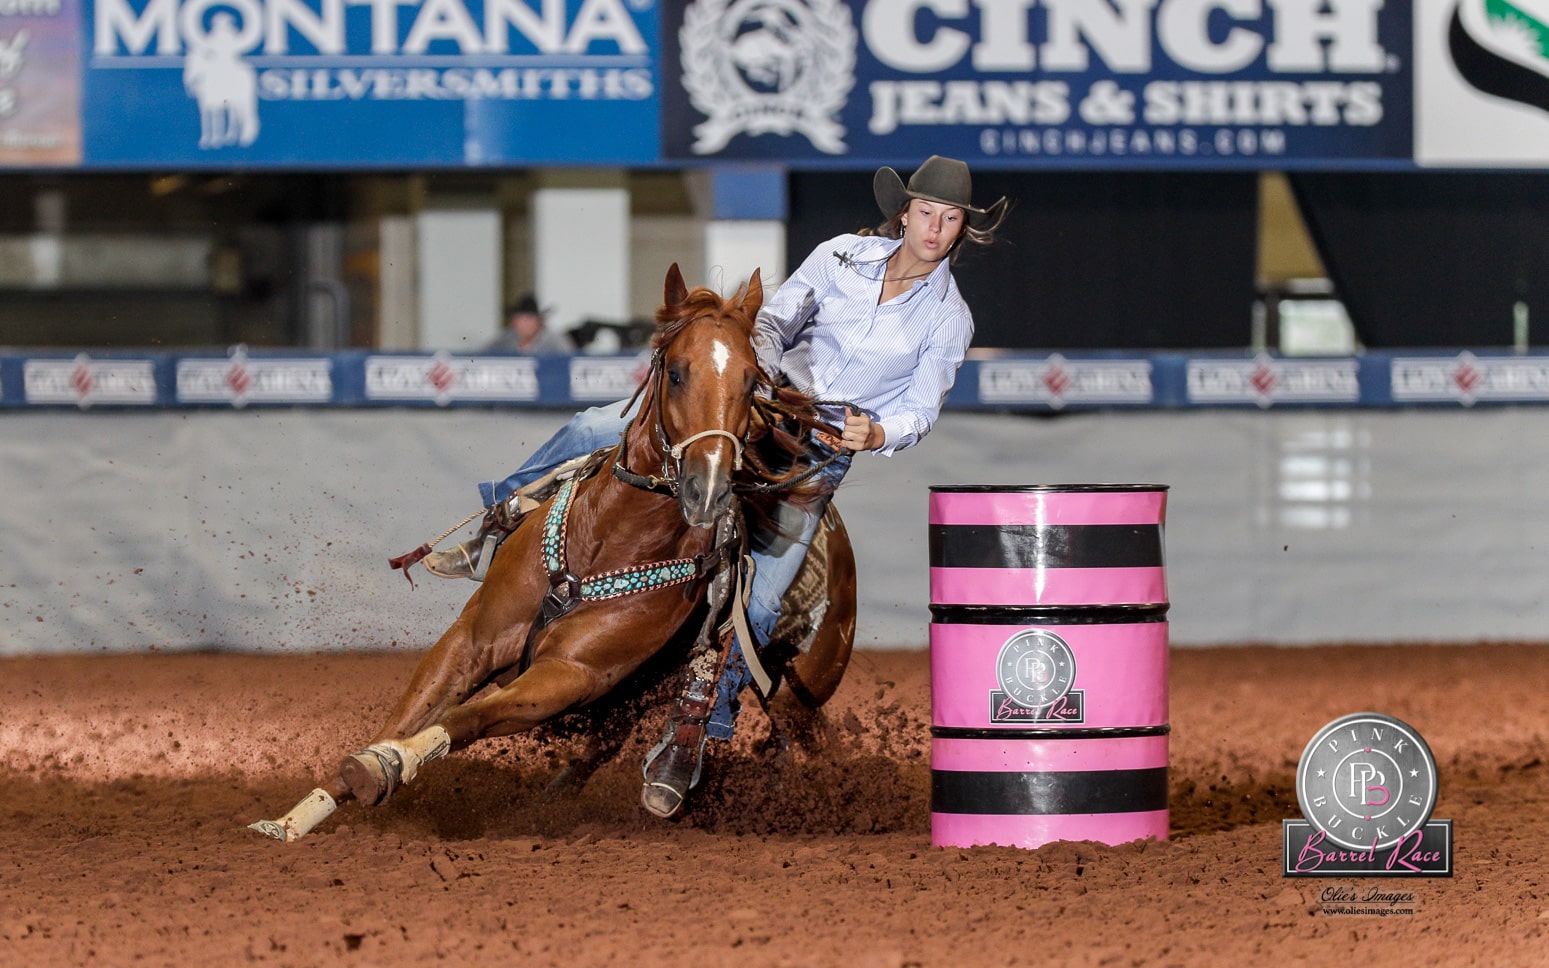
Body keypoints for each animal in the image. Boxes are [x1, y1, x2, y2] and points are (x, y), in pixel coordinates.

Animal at [251, 264, 856, 841]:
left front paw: (390, 765)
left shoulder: (570, 674)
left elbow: (468, 717)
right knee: (603, 745)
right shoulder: (471, 639)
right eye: (677, 371)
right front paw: (295, 817)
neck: (606, 542)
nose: (706, 490)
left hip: (792, 694)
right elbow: (404, 718)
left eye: (752, 381)